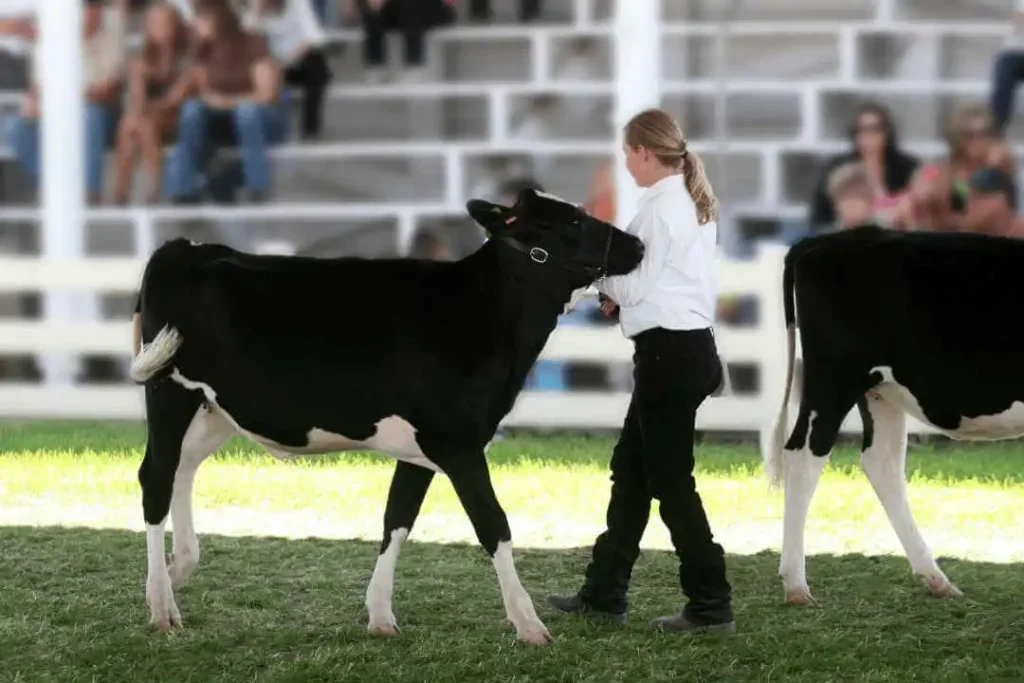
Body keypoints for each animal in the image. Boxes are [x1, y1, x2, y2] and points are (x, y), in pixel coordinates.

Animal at [128, 188, 638, 647]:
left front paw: (379, 615)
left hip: (213, 408)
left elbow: (398, 519)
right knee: (155, 477)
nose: (636, 244)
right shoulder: (457, 441)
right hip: (169, 390)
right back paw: (161, 604)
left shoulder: (422, 447)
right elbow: (494, 525)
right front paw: (529, 624)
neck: (480, 311)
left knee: (182, 470)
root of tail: (186, 247)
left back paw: (176, 570)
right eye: (572, 221)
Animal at [761, 227, 1024, 606]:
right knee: (805, 455)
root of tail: (828, 239)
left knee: (882, 463)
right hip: (836, 376)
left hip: (880, 390)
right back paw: (796, 585)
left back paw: (936, 579)